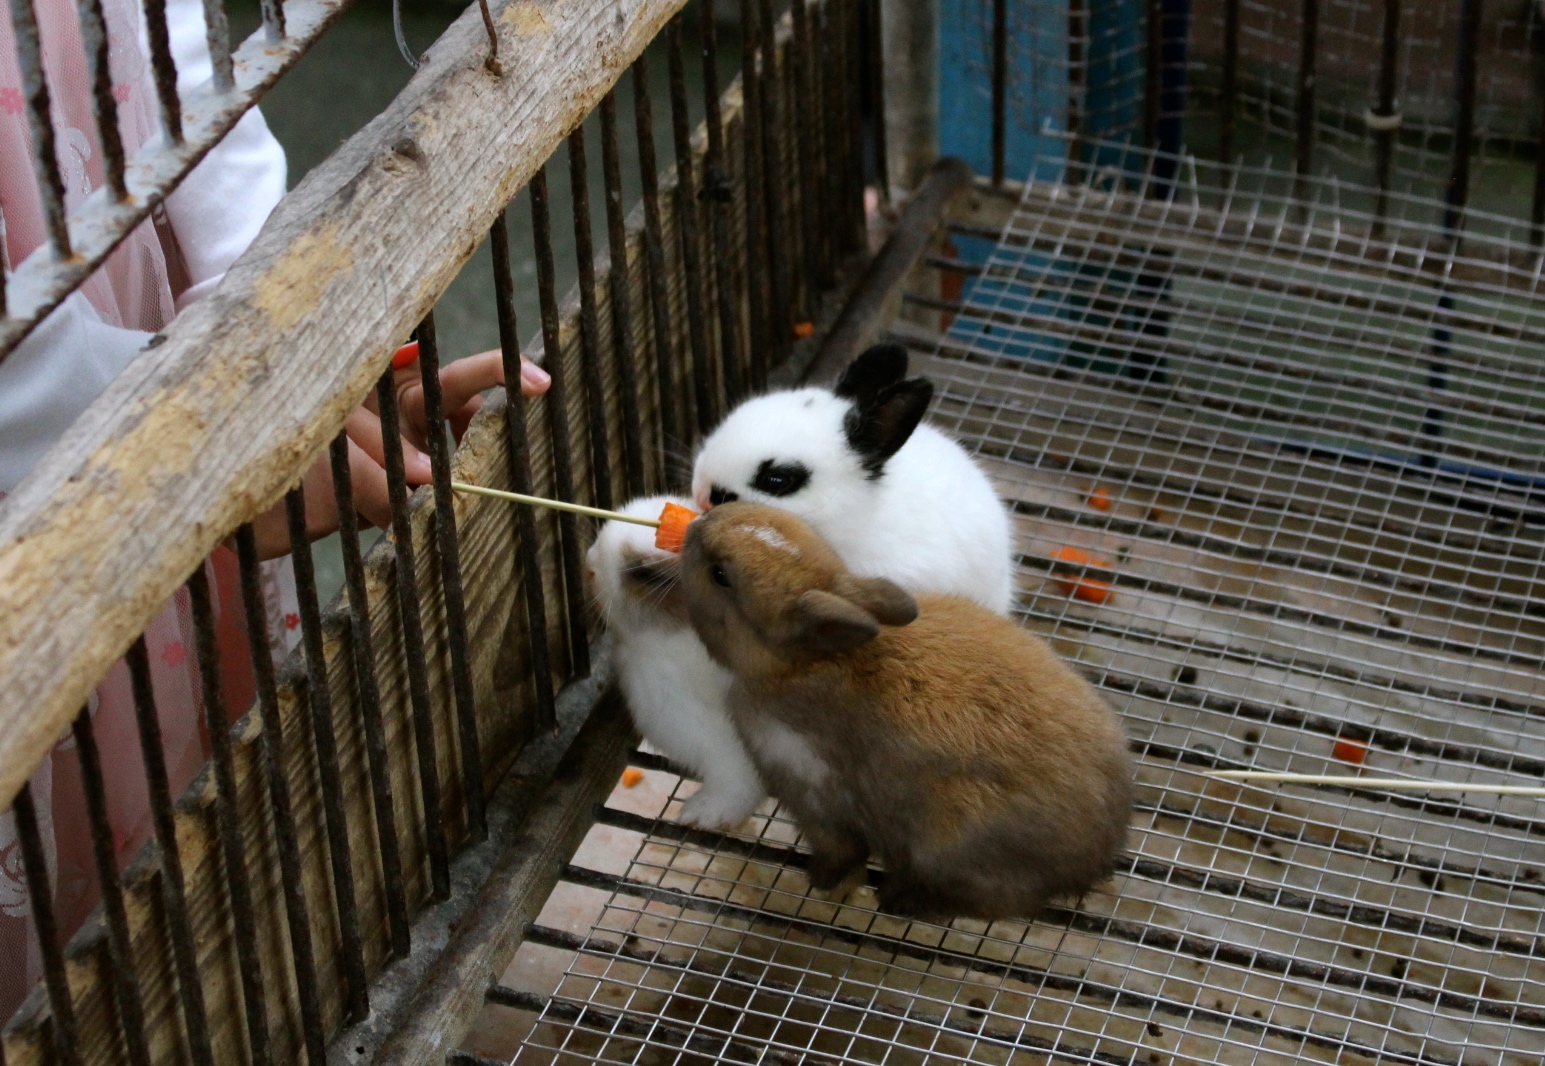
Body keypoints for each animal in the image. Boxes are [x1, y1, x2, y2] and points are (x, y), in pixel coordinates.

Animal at [682, 500, 1130, 920]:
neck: (799, 665)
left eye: (720, 575)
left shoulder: (815, 792)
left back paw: (900, 899)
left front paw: (821, 880)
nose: (696, 525)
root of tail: (1093, 859)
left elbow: (840, 851)